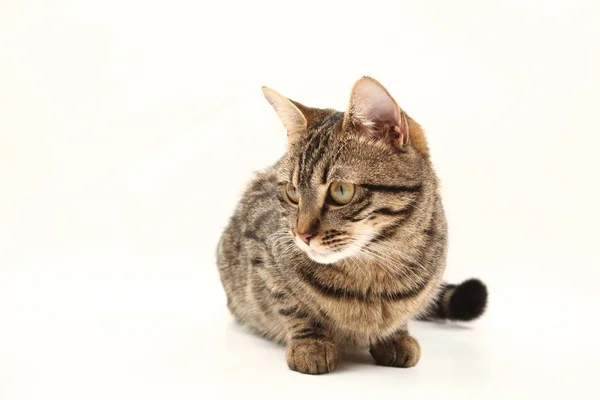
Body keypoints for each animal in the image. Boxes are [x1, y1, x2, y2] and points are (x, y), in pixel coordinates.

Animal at [216, 77, 488, 376]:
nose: (301, 234)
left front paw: (396, 336)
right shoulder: (260, 250)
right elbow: (293, 305)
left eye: (341, 191)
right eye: (292, 192)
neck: (375, 267)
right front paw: (311, 343)